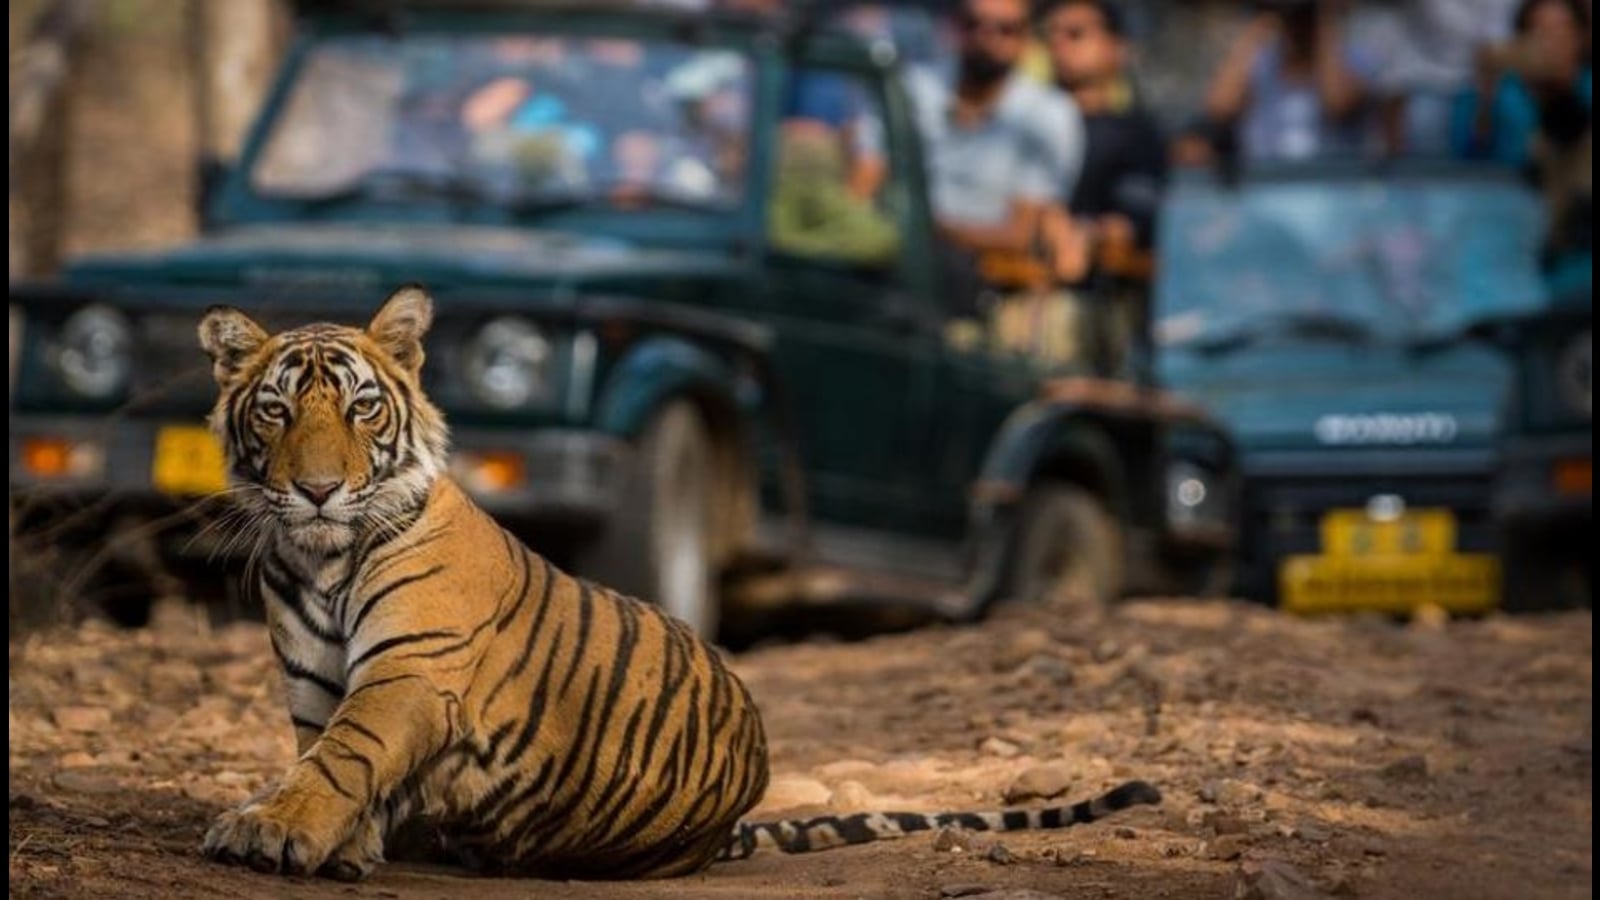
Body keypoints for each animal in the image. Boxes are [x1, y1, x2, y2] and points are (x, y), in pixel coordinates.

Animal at [196, 285, 1164, 877]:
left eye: (362, 408)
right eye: (276, 410)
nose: (318, 489)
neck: (320, 557)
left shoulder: (410, 671)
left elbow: (341, 757)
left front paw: (270, 830)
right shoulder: (315, 683)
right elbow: (322, 756)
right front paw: (334, 842)